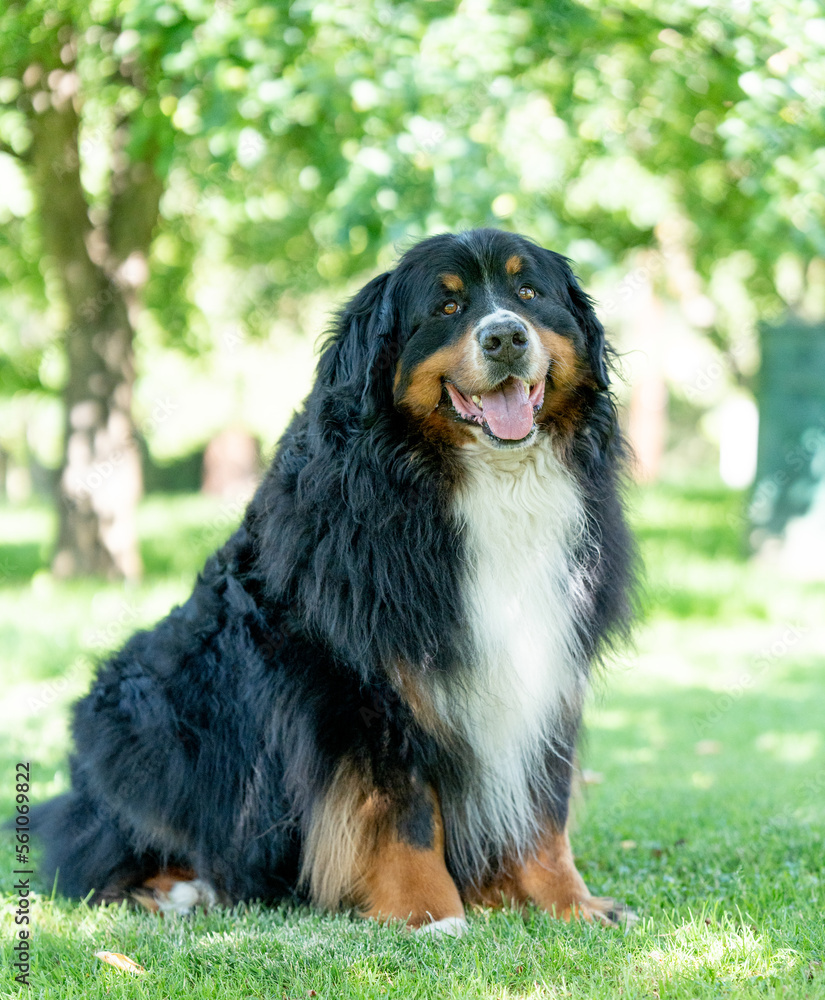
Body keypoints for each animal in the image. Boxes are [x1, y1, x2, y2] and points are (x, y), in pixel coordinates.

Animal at [32, 229, 636, 936]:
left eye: (529, 293)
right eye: (447, 306)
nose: (506, 336)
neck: (481, 486)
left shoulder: (545, 664)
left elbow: (545, 813)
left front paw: (570, 903)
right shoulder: (363, 685)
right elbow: (405, 810)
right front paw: (430, 915)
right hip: (141, 714)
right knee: (95, 848)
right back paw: (183, 888)